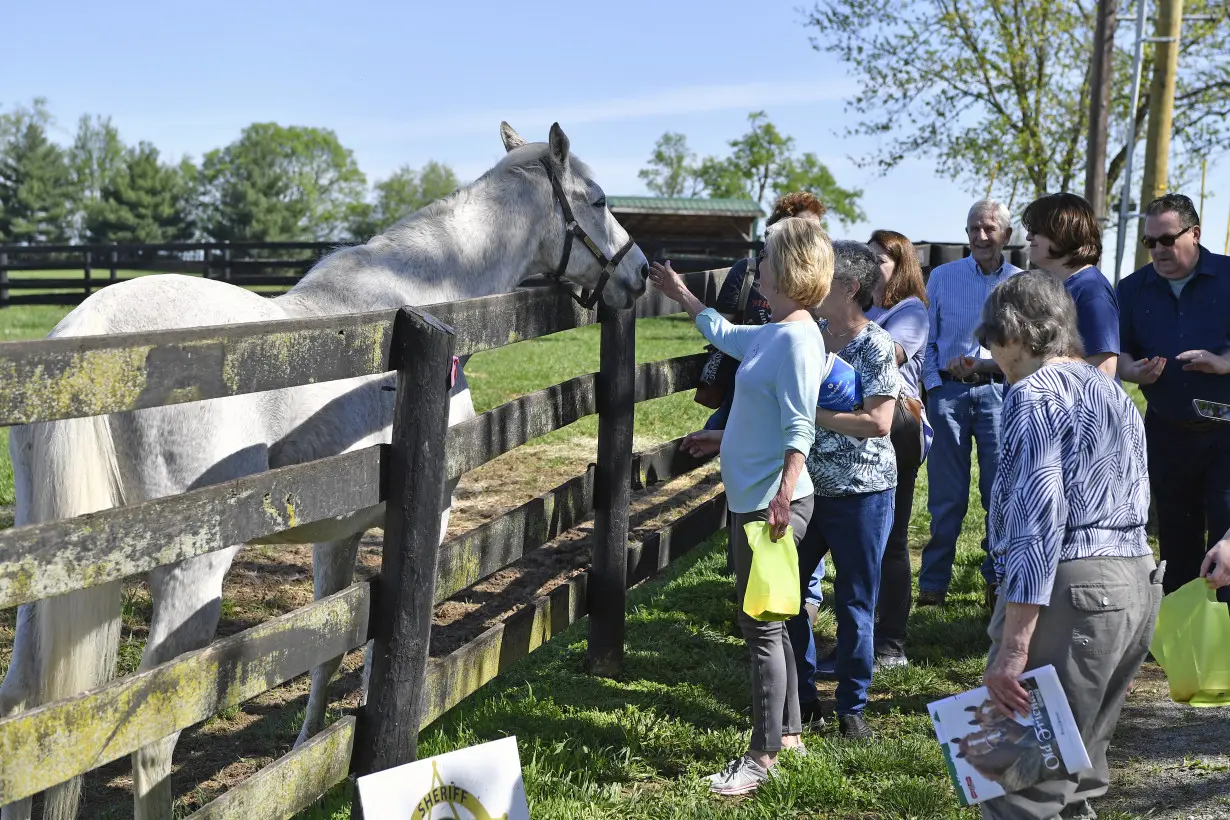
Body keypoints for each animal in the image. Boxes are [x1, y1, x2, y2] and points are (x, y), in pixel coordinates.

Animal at [0, 121, 649, 820]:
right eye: (600, 200)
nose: (641, 272)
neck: (421, 300)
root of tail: (89, 326)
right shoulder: (433, 512)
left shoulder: (338, 531)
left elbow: (328, 649)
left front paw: (312, 760)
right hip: (191, 576)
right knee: (152, 738)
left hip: (55, 581)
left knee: (23, 719)